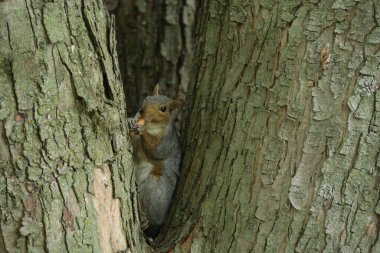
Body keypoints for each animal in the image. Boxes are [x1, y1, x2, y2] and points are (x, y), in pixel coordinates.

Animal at [127, 85, 184, 237]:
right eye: (146, 98)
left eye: (163, 109)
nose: (142, 110)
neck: (151, 126)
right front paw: (130, 120)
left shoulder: (166, 144)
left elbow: (155, 150)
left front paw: (142, 130)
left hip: (154, 187)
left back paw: (145, 221)